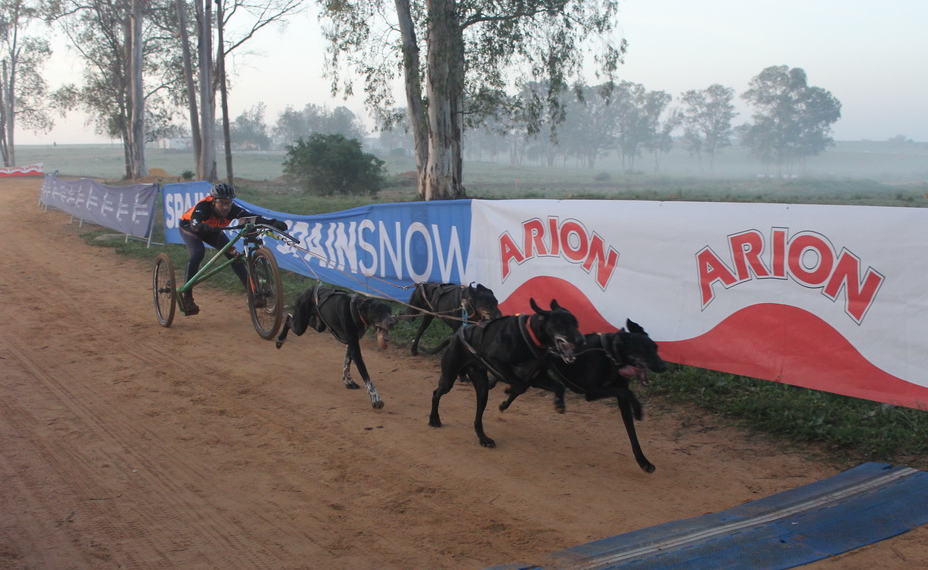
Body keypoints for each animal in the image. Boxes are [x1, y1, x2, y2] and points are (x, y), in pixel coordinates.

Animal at [426, 298, 580, 448]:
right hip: (449, 377)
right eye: (561, 324)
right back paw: (434, 419)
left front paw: (559, 404)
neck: (530, 336)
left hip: (481, 389)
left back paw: (483, 438)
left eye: (576, 324)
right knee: (436, 393)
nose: (582, 341)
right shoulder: (496, 361)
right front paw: (509, 392)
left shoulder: (538, 378)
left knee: (478, 416)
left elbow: (559, 387)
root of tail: (455, 337)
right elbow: (519, 385)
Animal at [500, 320, 668, 470]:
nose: (663, 367)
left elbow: (632, 432)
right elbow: (627, 392)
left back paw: (505, 402)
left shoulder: (621, 401)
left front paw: (643, 461)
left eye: (655, 347)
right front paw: (638, 410)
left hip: (537, 375)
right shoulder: (592, 392)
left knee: (523, 387)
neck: (609, 353)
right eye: (642, 349)